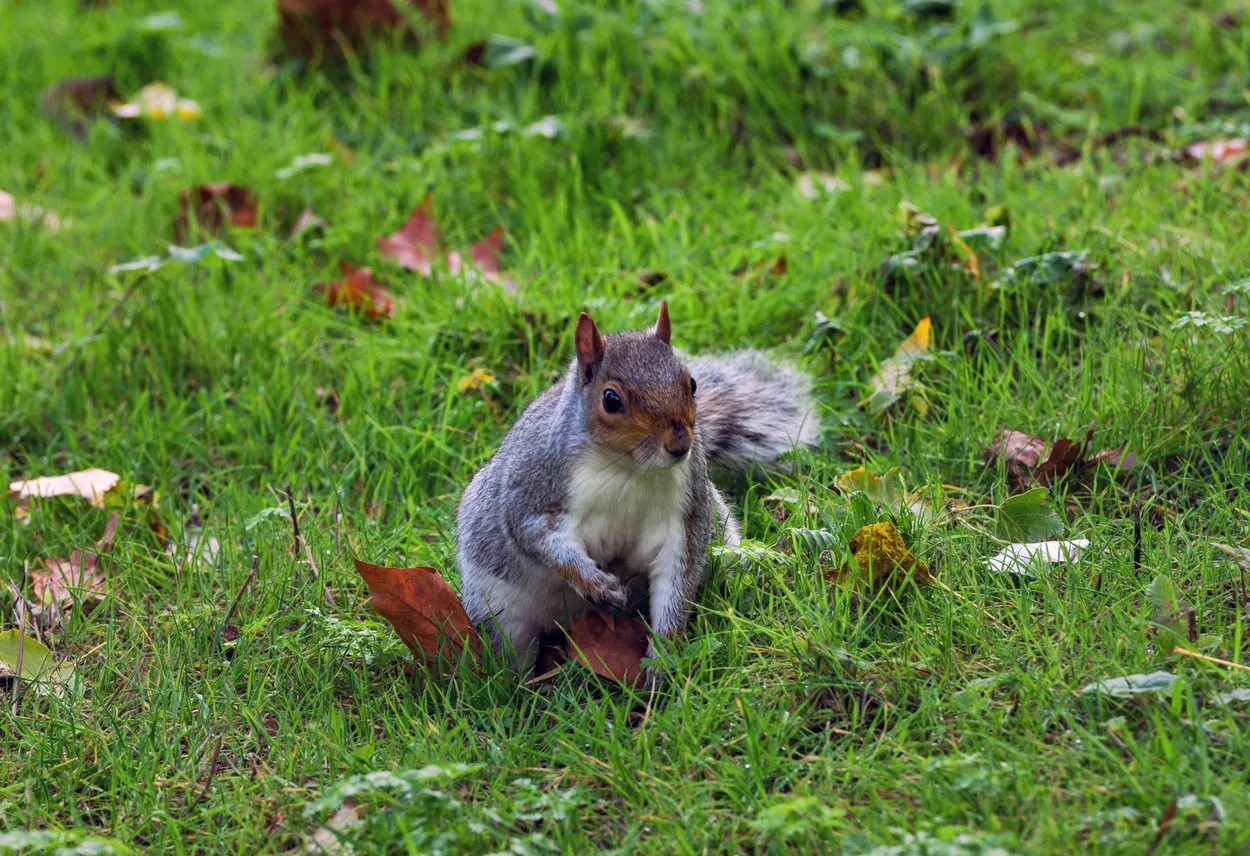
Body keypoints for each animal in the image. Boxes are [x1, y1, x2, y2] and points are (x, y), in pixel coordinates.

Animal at [457, 302, 820, 672]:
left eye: (691, 383)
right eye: (611, 399)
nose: (680, 444)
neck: (627, 470)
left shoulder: (683, 518)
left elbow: (676, 581)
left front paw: (662, 658)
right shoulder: (533, 488)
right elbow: (538, 540)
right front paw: (597, 585)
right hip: (499, 611)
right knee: (512, 648)